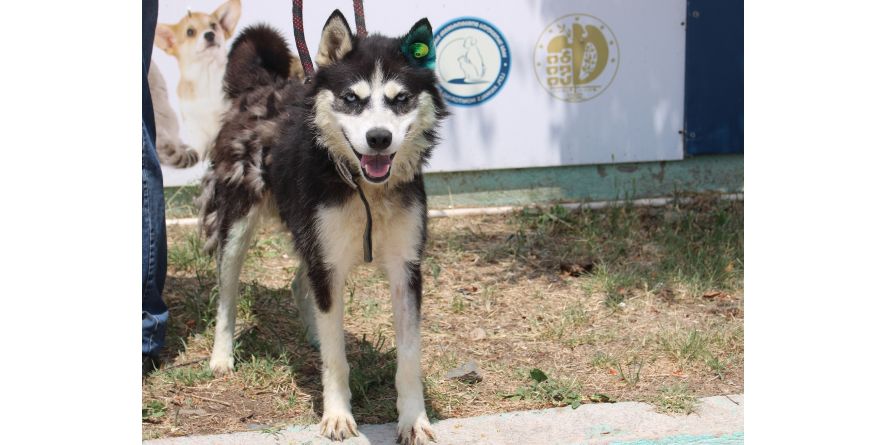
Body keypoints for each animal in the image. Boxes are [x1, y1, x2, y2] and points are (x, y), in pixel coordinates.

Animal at [194, 10, 444, 444]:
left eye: (400, 99)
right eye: (351, 99)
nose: (379, 138)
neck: (364, 188)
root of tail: (261, 87)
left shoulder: (405, 268)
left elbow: (409, 357)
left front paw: (414, 419)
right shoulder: (327, 260)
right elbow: (336, 360)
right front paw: (338, 415)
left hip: (311, 235)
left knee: (302, 284)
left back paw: (314, 332)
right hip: (238, 224)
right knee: (227, 293)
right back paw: (222, 356)